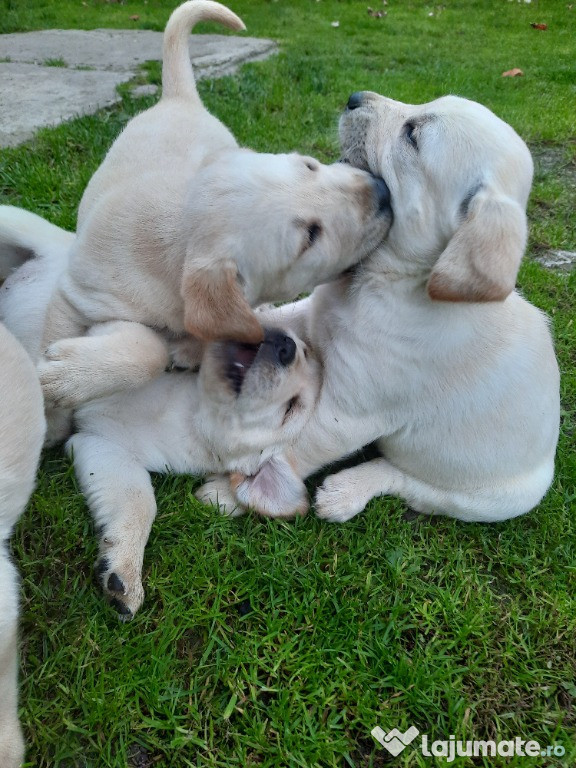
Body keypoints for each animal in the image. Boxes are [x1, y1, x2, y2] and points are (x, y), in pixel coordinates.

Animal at [38, 0, 392, 426]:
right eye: (310, 237)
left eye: (310, 165)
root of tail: (179, 98)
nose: (383, 191)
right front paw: (56, 406)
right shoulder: (72, 296)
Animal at [224, 90, 560, 520]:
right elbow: (286, 314)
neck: (387, 283)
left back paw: (346, 492)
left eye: (412, 135)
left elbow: (293, 450)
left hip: (486, 500)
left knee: (404, 480)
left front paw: (231, 491)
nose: (353, 98)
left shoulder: (347, 415)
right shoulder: (313, 313)